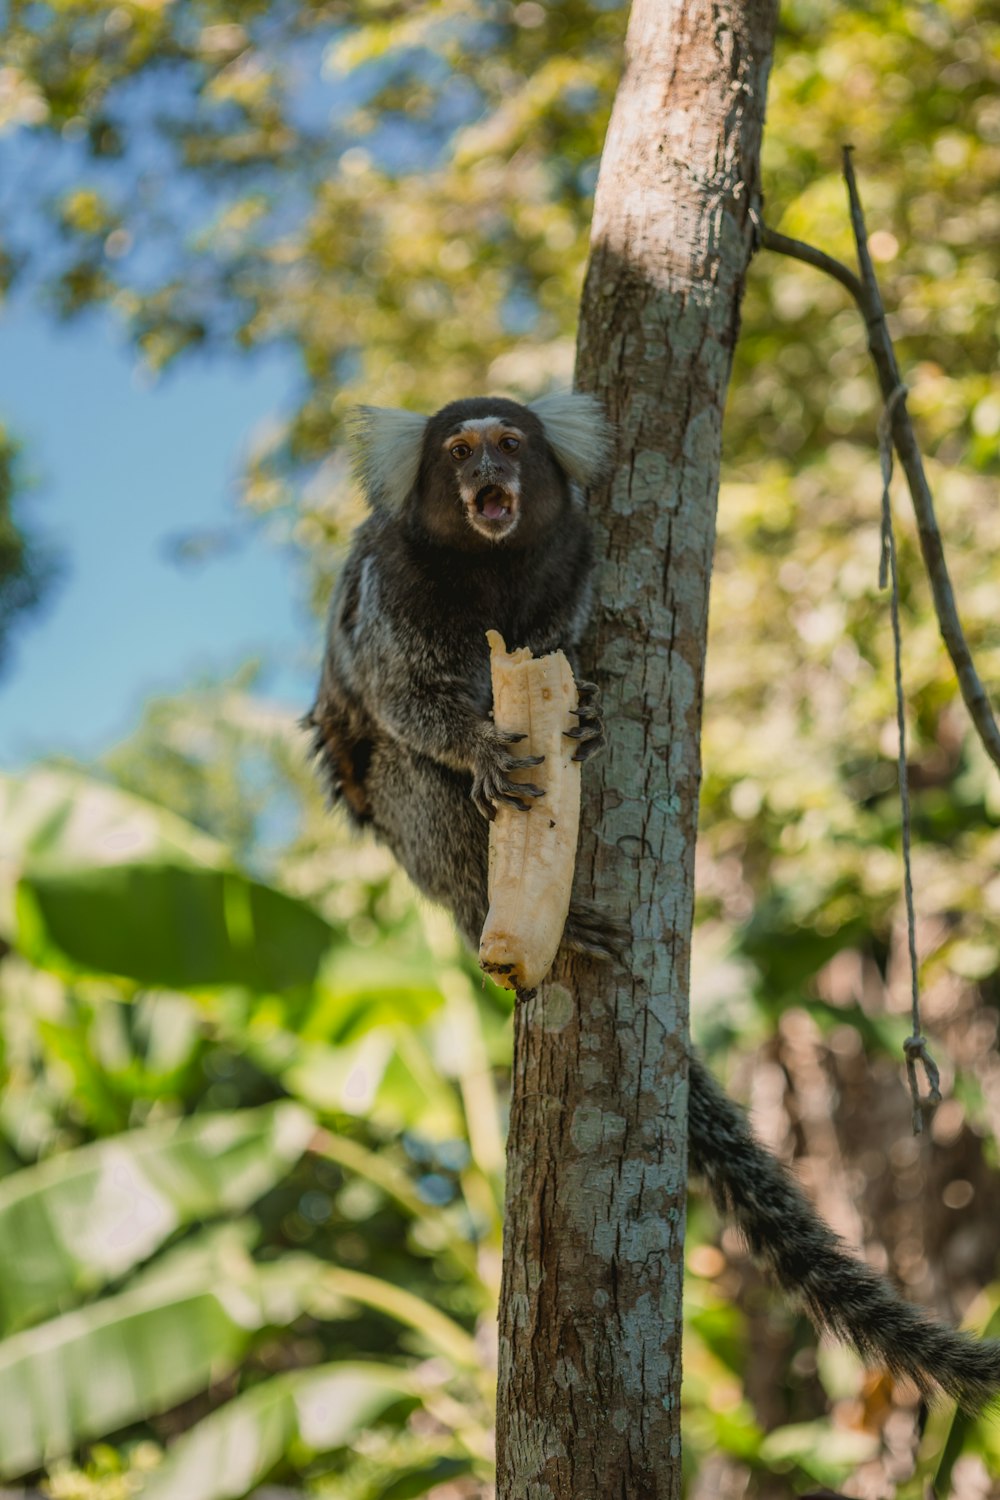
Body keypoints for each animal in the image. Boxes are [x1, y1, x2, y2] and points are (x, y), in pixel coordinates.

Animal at [307, 387, 1000, 1404]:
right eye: (460, 451)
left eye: (510, 444)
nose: (492, 476)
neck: (489, 567)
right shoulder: (390, 589)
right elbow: (404, 698)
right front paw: (476, 745)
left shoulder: (572, 568)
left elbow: (557, 657)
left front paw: (584, 713)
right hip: (403, 837)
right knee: (409, 780)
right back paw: (509, 909)